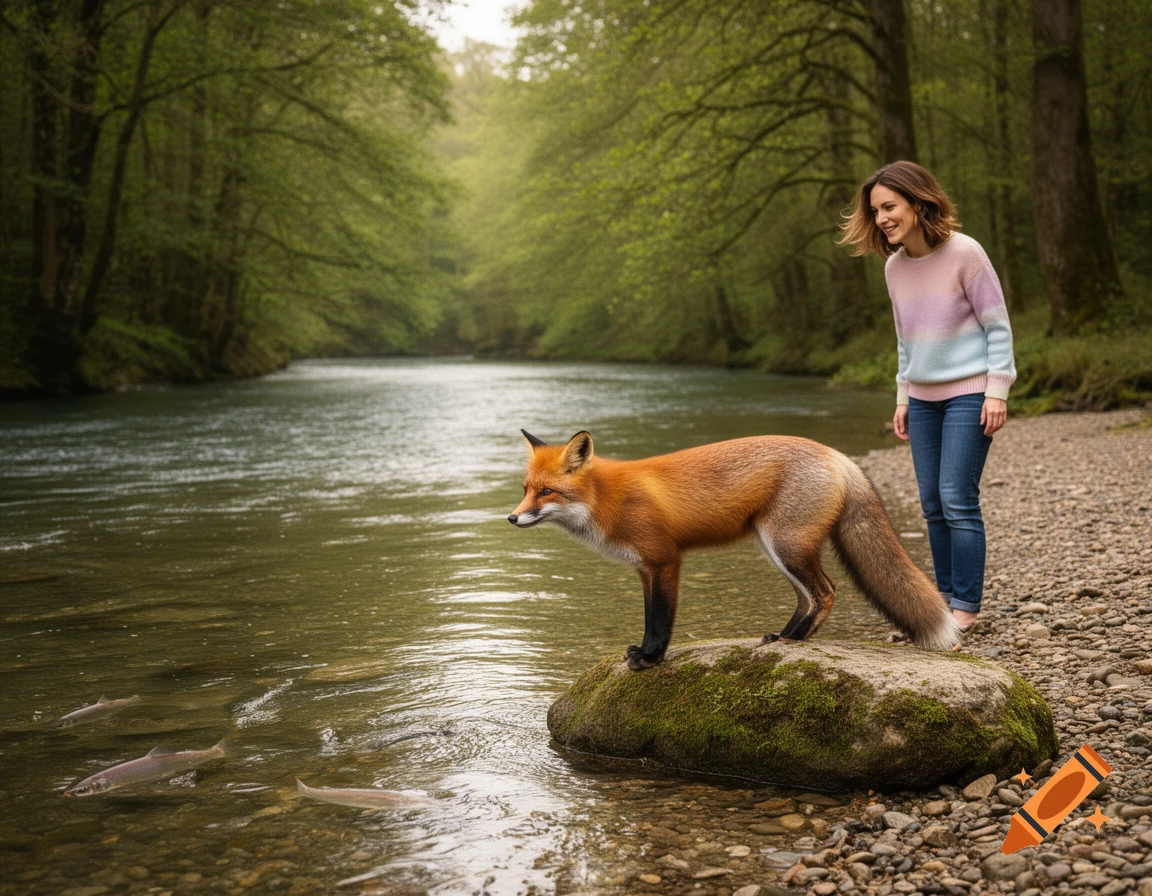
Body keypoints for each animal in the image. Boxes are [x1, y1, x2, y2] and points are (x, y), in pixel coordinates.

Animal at [508, 430, 960, 670]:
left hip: (786, 546)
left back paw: (792, 640)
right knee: (809, 596)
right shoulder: (643, 568)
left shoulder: (665, 560)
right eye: (526, 489)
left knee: (827, 591)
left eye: (547, 492)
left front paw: (651, 658)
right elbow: (648, 615)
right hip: (775, 548)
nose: (511, 518)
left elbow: (660, 619)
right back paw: (786, 636)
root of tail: (837, 455)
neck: (609, 499)